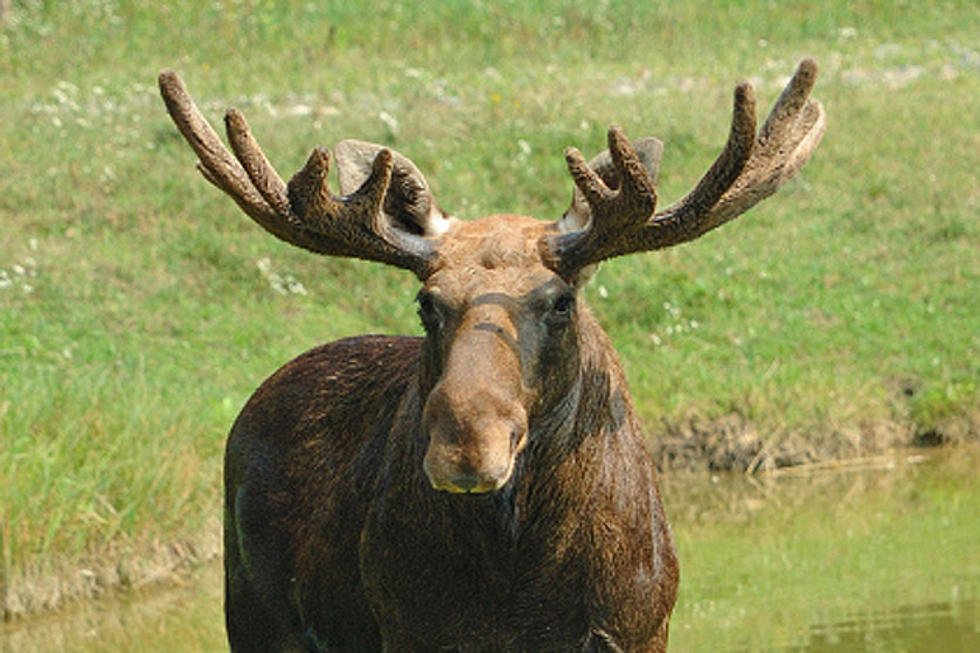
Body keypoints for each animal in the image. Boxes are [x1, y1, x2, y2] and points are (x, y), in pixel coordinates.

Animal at [161, 58, 828, 648]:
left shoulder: (641, 628)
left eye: (560, 302)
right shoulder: (412, 632)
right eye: (426, 302)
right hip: (254, 617)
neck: (526, 588)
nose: (465, 446)